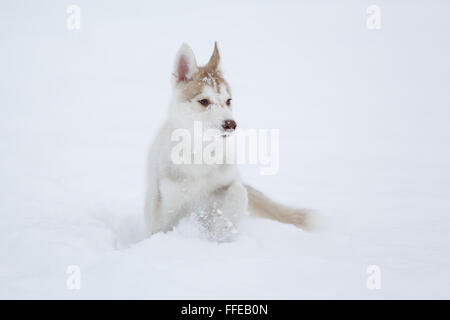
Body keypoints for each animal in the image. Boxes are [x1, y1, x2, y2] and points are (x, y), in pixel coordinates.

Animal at [145, 43, 312, 242]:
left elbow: (239, 192)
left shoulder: (227, 182)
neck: (201, 154)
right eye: (204, 101)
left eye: (228, 101)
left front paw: (223, 230)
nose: (231, 124)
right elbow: (162, 227)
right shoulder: (166, 209)